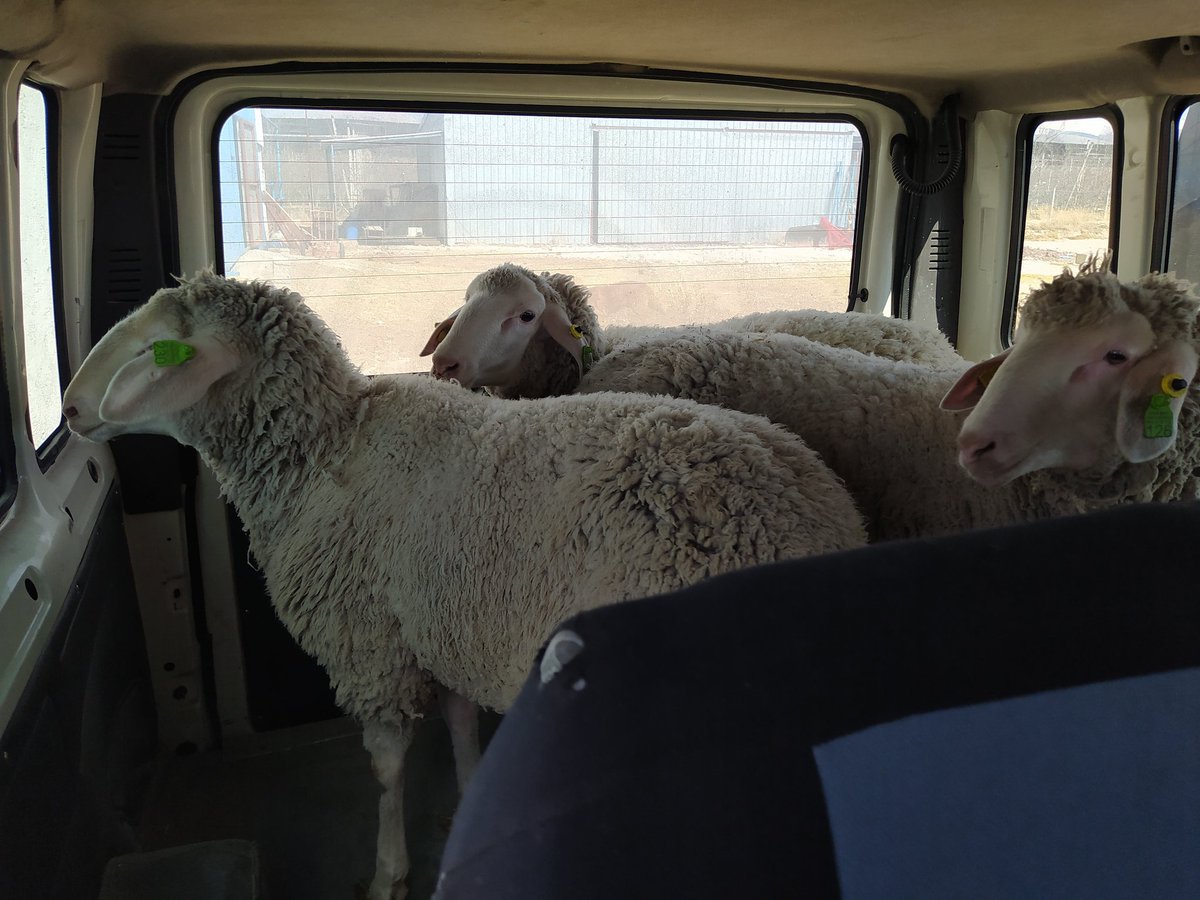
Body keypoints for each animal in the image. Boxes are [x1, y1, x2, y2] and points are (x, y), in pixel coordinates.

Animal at [62, 271, 867, 900]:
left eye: (156, 348)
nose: (68, 409)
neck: (324, 452)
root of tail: (817, 529)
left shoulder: (370, 647)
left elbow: (386, 767)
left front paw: (388, 873)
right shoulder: (441, 620)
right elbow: (456, 721)